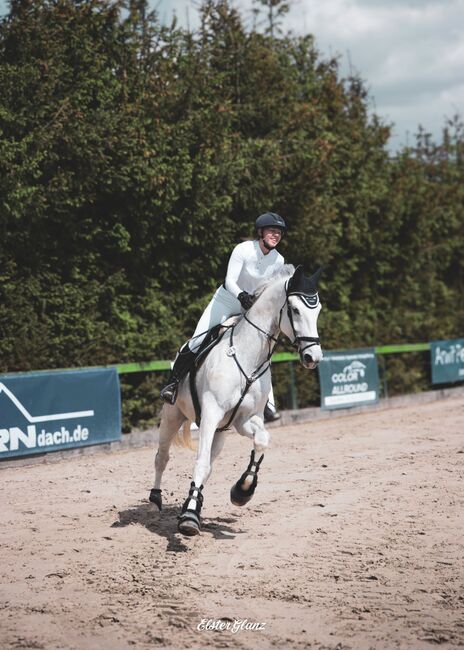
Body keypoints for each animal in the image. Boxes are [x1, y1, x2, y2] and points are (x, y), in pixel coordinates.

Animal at [149, 260, 322, 536]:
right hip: (172, 416)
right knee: (162, 457)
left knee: (208, 464)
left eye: (318, 312)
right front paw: (189, 519)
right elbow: (200, 463)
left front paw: (242, 491)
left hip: (220, 432)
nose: (313, 358)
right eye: (294, 310)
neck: (248, 355)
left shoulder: (245, 420)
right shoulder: (210, 414)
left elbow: (261, 441)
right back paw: (156, 499)